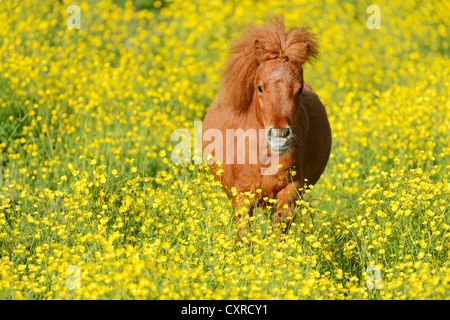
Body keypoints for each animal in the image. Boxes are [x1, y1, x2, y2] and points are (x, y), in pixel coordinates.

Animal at [201, 16, 330, 239]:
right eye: (260, 87)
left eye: (300, 89)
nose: (279, 135)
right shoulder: (241, 194)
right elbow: (244, 234)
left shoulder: (290, 189)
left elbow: (280, 225)